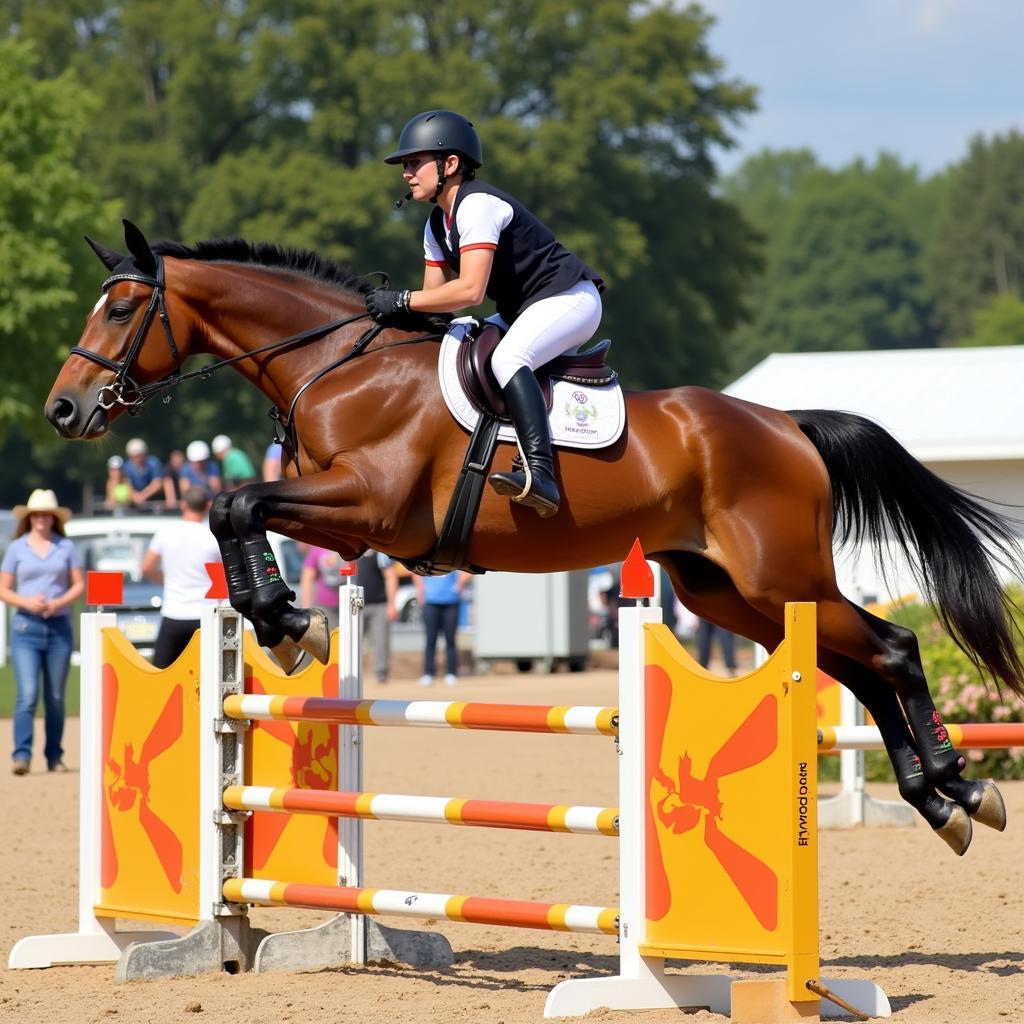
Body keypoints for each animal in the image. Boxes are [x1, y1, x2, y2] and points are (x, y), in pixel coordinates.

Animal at [46, 220, 1024, 851]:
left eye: (120, 312)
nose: (64, 410)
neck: (338, 364)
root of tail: (786, 424)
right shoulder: (350, 524)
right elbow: (231, 510)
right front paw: (288, 623)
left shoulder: (370, 506)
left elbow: (237, 502)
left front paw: (293, 624)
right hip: (725, 590)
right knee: (851, 667)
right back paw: (942, 802)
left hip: (779, 577)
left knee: (892, 649)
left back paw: (960, 787)